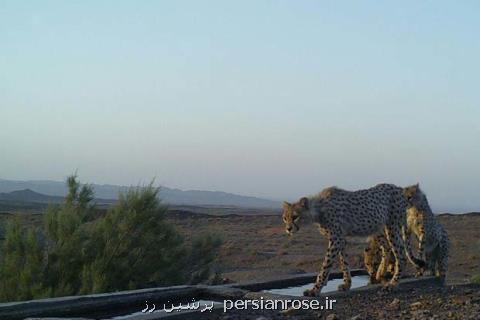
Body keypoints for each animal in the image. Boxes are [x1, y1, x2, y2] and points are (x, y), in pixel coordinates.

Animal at [282, 184, 424, 296]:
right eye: (285, 218)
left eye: (295, 217)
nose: (288, 229)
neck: (318, 209)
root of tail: (399, 188)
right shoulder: (341, 238)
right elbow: (343, 262)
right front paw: (346, 284)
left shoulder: (336, 239)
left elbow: (325, 265)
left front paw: (315, 289)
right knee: (389, 249)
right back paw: (381, 275)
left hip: (392, 227)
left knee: (401, 255)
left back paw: (392, 284)